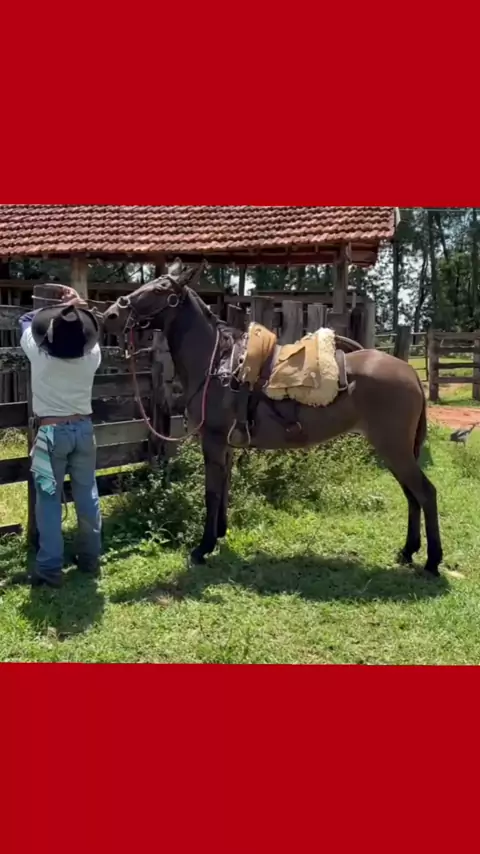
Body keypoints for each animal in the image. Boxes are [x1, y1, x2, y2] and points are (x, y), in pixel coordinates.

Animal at [102, 259, 443, 577]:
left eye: (160, 289)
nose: (111, 315)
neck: (218, 364)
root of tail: (410, 372)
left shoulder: (213, 440)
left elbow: (211, 493)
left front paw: (203, 547)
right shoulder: (226, 445)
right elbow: (224, 489)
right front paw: (220, 535)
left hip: (393, 448)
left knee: (425, 493)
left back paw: (432, 561)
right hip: (396, 450)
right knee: (412, 495)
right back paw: (408, 551)